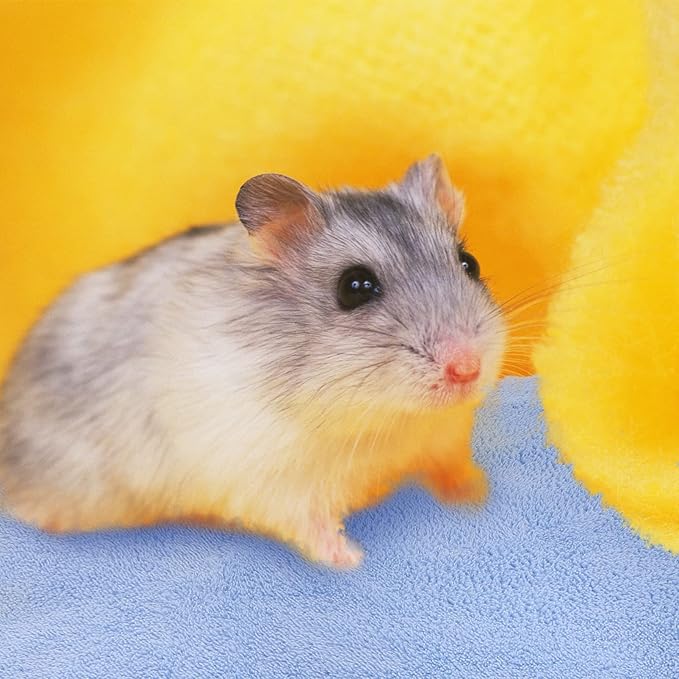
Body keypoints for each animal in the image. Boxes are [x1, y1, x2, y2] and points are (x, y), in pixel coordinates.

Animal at [0, 155, 506, 569]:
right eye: (355, 287)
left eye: (470, 263)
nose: (467, 369)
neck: (387, 419)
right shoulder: (272, 479)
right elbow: (307, 524)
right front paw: (351, 560)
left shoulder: (443, 438)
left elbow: (452, 467)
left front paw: (477, 497)